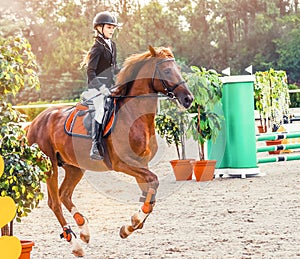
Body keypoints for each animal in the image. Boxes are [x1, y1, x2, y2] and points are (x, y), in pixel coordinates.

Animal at [27, 45, 193, 256]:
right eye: (166, 71)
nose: (188, 99)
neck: (134, 116)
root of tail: (35, 121)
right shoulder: (122, 163)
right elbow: (154, 183)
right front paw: (133, 222)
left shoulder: (142, 164)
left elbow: (150, 195)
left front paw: (129, 227)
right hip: (50, 166)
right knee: (54, 202)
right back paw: (75, 244)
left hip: (74, 167)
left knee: (64, 194)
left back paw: (84, 230)